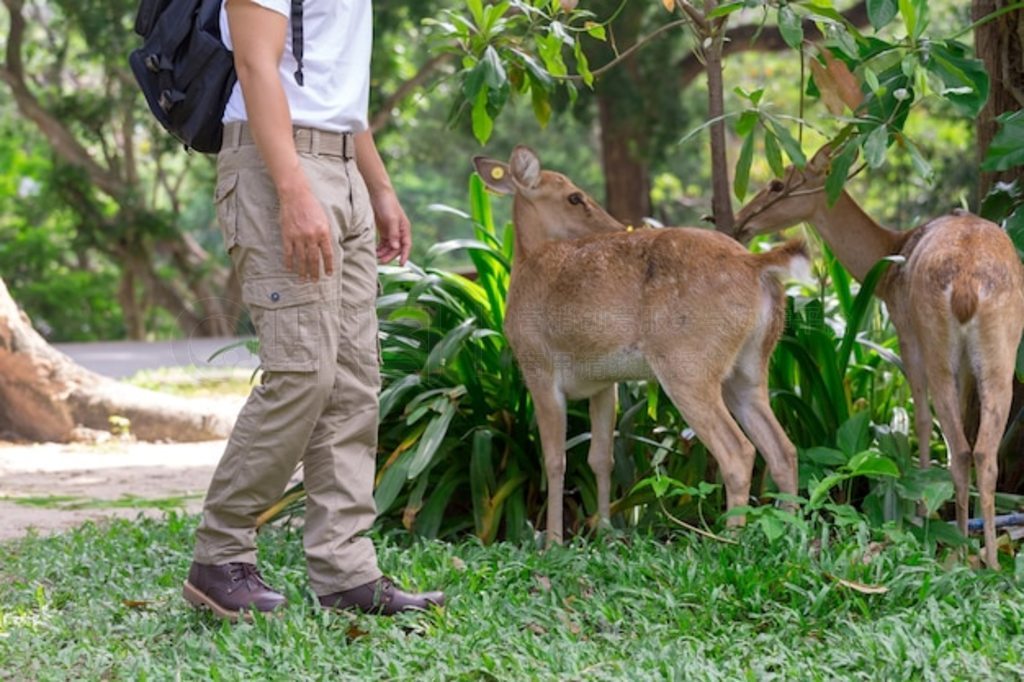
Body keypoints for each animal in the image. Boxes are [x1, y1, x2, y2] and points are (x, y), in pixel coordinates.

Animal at [473, 144, 806, 540]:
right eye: (574, 197)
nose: (617, 227)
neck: (525, 267)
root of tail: (755, 263)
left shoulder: (537, 366)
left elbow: (554, 459)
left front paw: (553, 540)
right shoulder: (604, 383)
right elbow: (600, 458)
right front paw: (604, 532)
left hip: (687, 364)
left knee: (739, 452)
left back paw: (729, 539)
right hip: (750, 367)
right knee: (783, 449)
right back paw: (790, 533)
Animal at [737, 148, 1024, 569]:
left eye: (777, 183)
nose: (741, 221)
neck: (890, 258)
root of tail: (967, 287)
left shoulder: (906, 332)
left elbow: (919, 419)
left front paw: (920, 513)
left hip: (937, 346)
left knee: (957, 445)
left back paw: (956, 549)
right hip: (1001, 352)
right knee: (984, 449)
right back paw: (988, 557)